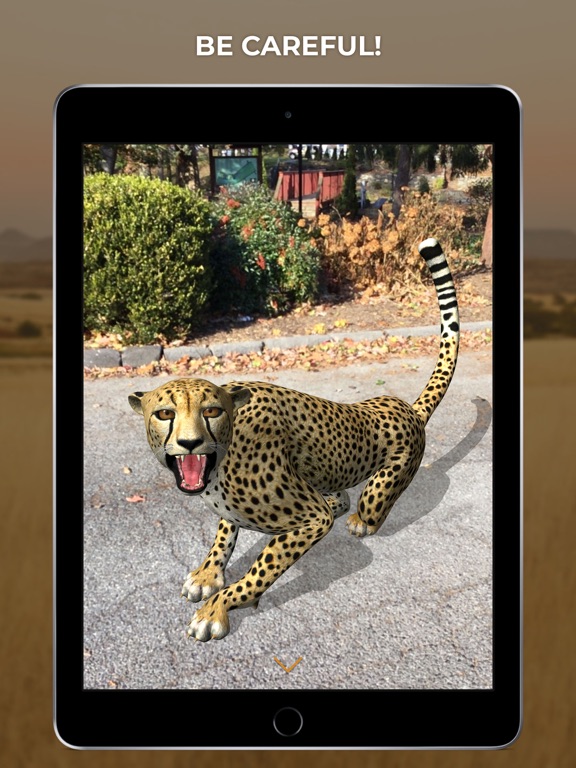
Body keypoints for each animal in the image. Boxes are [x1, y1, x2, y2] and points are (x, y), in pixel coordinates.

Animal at [128, 238, 460, 642]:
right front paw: (208, 575)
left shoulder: (310, 520)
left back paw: (359, 521)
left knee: (368, 506)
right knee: (339, 496)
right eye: (164, 414)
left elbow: (257, 573)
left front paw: (215, 609)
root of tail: (404, 407)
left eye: (211, 411)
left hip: (382, 485)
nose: (190, 444)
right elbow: (223, 536)